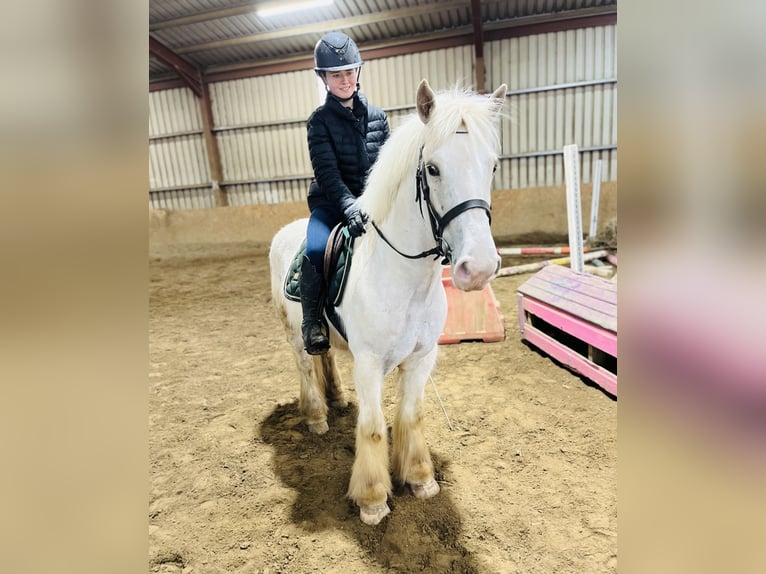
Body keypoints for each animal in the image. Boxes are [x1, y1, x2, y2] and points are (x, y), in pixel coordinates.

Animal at [269, 79, 507, 525]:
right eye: (433, 168)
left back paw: (336, 399)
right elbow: (374, 426)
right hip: (293, 332)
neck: (405, 280)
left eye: (493, 166)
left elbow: (412, 416)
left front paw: (420, 479)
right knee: (305, 366)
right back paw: (316, 416)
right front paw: (373, 499)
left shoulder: (421, 358)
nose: (479, 267)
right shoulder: (369, 364)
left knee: (325, 356)